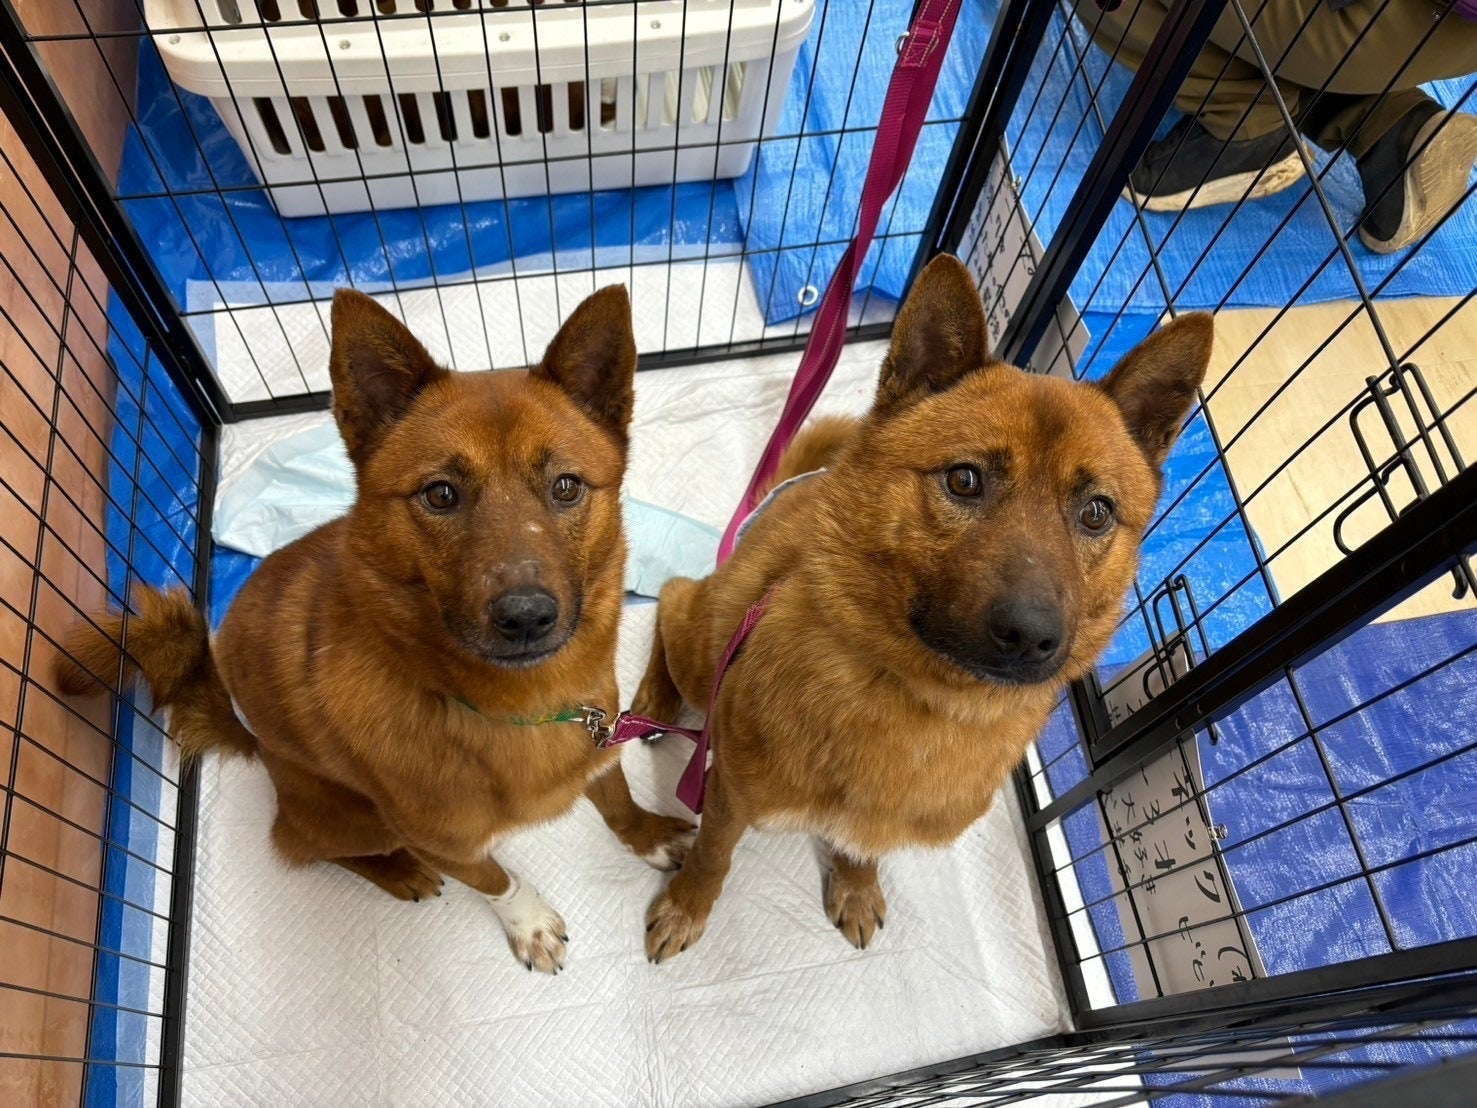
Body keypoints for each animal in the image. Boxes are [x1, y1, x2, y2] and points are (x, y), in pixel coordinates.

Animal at [57, 286, 694, 974]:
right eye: (440, 494)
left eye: (567, 486)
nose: (526, 616)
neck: (515, 704)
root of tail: (255, 744)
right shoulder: (444, 841)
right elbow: (497, 880)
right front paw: (528, 922)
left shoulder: (597, 742)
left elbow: (618, 798)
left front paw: (646, 835)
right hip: (353, 819)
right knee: (305, 846)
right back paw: (397, 872)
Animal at [632, 254, 1213, 962]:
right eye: (964, 479)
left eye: (1096, 512)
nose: (1031, 636)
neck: (922, 701)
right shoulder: (727, 795)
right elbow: (712, 857)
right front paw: (688, 905)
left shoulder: (876, 821)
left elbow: (862, 846)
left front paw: (854, 884)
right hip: (704, 643)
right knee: (670, 602)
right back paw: (653, 700)